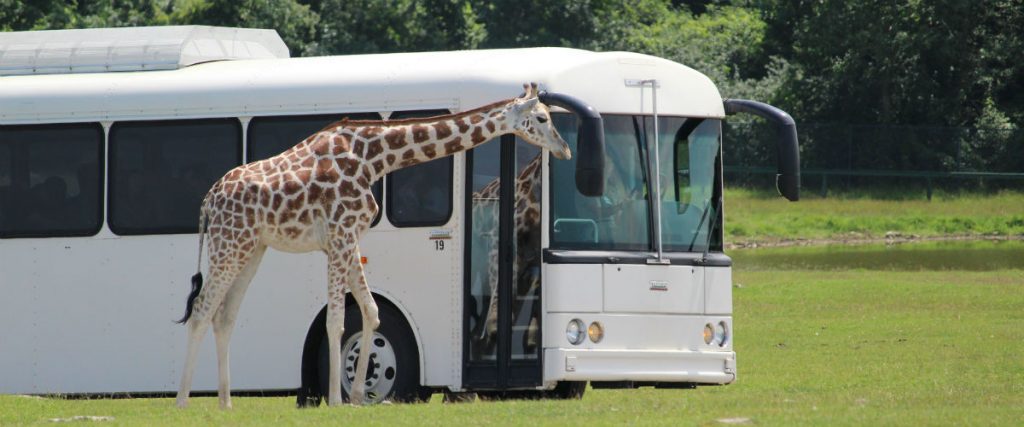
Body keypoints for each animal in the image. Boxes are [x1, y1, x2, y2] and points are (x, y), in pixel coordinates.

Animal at [178, 82, 577, 405]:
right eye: (541, 118)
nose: (565, 150)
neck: (374, 158)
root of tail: (208, 200)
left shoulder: (349, 238)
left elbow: (371, 311)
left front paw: (357, 396)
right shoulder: (339, 235)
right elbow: (336, 320)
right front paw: (336, 400)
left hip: (252, 248)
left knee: (225, 315)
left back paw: (226, 404)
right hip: (229, 244)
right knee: (201, 309)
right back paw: (183, 402)